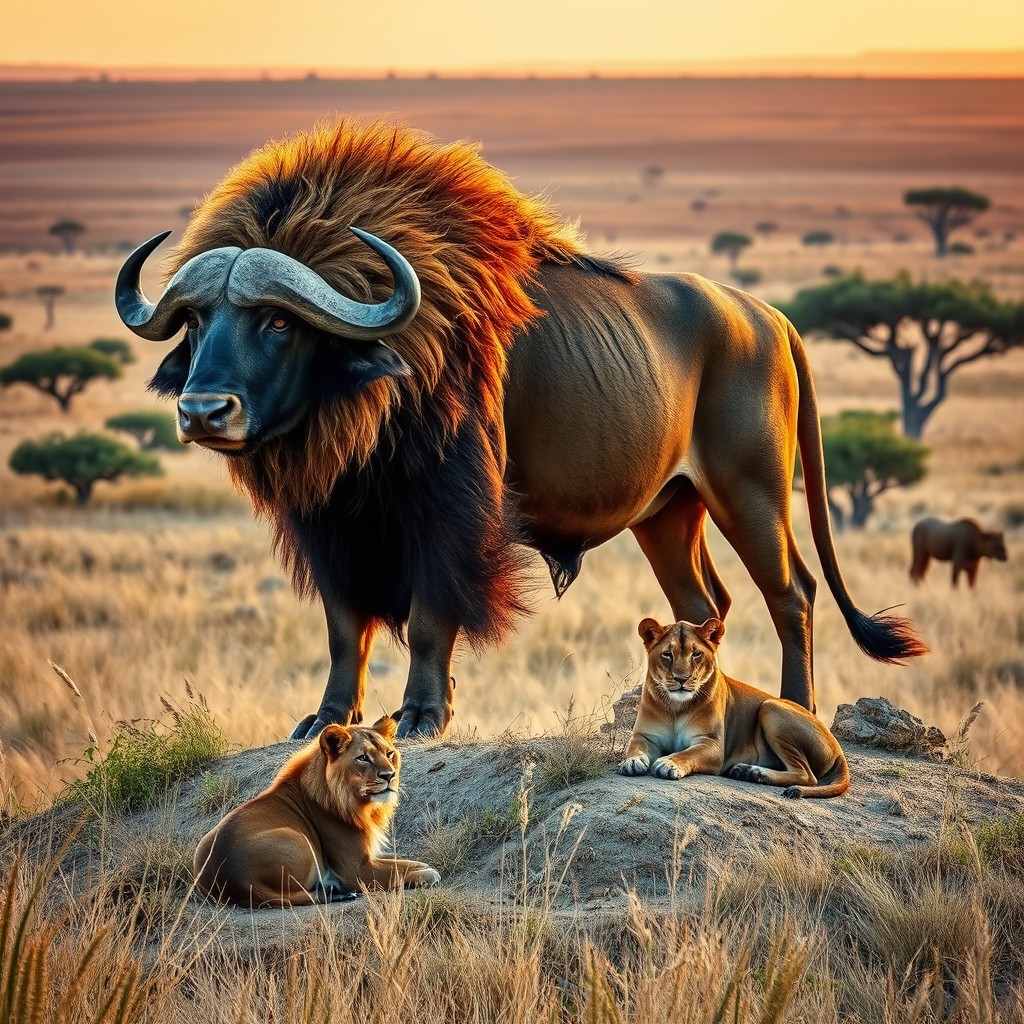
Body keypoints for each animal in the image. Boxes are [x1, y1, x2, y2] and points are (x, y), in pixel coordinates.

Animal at [193, 716, 439, 906]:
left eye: (389, 754)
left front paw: (421, 865)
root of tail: (236, 882)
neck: (357, 801)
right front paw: (427, 872)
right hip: (299, 839)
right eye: (363, 758)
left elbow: (402, 860)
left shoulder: (371, 855)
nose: (389, 776)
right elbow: (398, 870)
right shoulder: (355, 869)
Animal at [618, 617, 849, 799]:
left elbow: (687, 753)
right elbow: (635, 747)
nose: (681, 679)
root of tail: (838, 748)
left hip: (770, 707)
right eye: (667, 654)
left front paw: (669, 764)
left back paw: (754, 772)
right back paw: (746, 771)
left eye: (696, 654)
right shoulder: (645, 736)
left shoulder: (712, 745)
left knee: (807, 776)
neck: (677, 706)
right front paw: (632, 762)